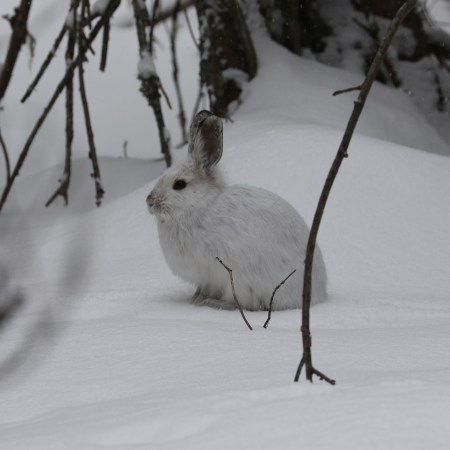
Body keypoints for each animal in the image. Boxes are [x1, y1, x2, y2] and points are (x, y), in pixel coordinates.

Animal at [146, 110, 327, 311]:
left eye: (179, 184)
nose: (149, 201)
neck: (200, 205)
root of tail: (315, 295)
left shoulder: (208, 273)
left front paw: (197, 300)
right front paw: (194, 298)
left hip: (242, 278)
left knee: (245, 304)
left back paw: (213, 303)